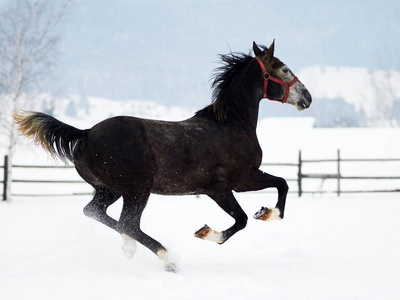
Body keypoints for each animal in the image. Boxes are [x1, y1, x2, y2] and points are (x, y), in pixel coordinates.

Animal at [13, 40, 312, 272]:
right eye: (284, 69)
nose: (307, 97)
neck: (232, 124)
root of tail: (84, 134)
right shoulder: (236, 182)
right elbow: (257, 206)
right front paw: (251, 219)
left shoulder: (223, 187)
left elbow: (267, 196)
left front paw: (260, 213)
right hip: (137, 189)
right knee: (129, 223)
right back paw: (168, 259)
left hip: (110, 189)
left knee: (97, 213)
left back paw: (130, 248)